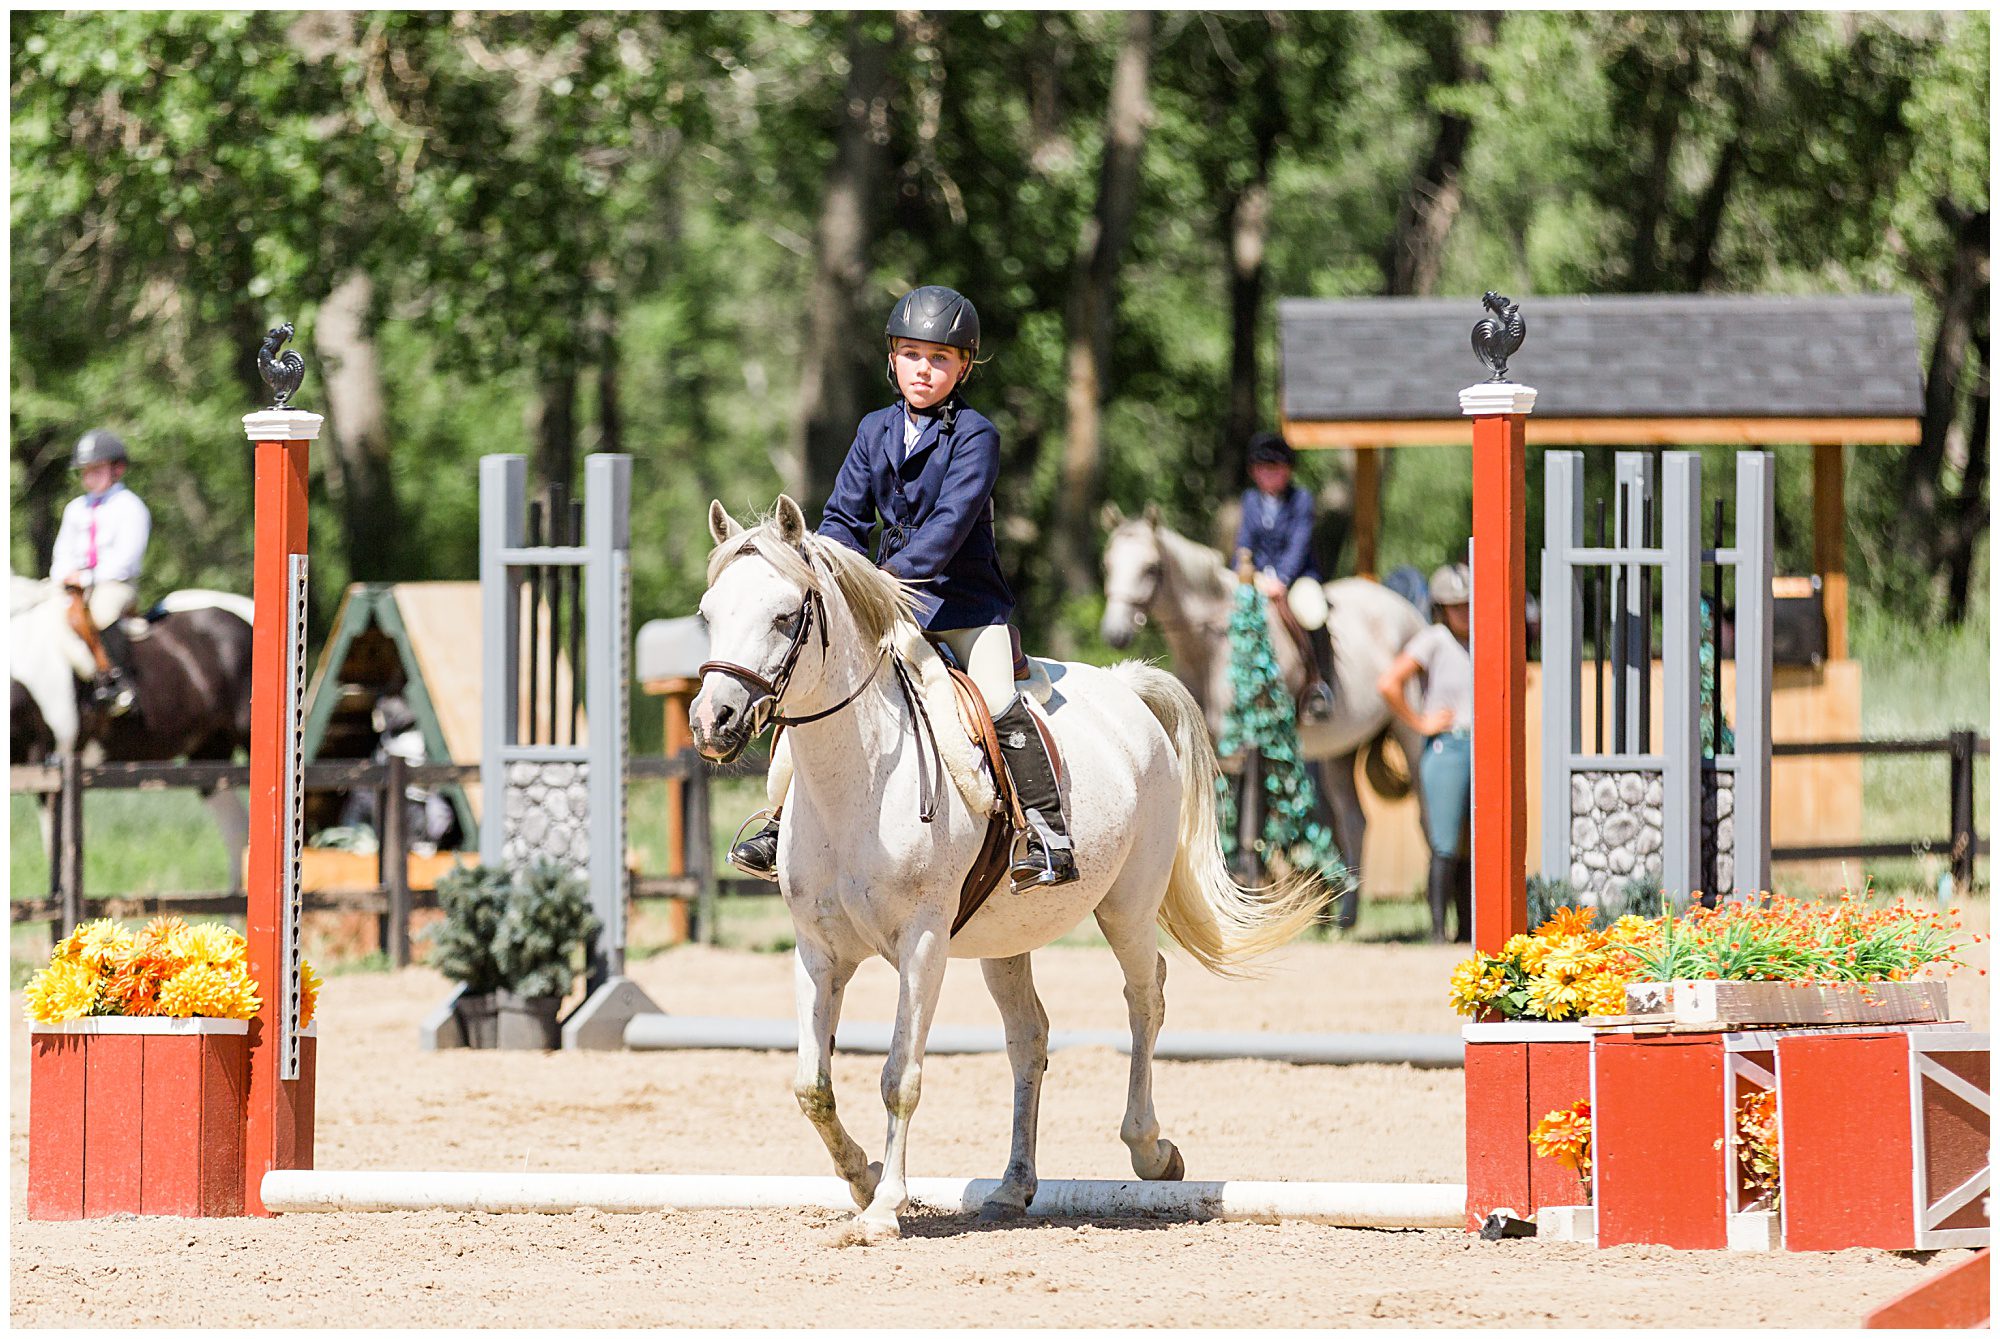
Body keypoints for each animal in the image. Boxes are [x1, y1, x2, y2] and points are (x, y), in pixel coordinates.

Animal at [692, 497, 1328, 1247]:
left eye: (786, 615)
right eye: (708, 612)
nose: (711, 721)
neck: (859, 776)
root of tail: (1124, 684)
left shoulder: (923, 945)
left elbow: (900, 1075)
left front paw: (883, 1208)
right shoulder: (817, 951)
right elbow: (810, 1085)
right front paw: (865, 1177)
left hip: (1127, 908)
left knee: (1146, 997)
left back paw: (1151, 1150)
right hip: (1005, 939)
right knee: (1030, 1039)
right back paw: (1012, 1186)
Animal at [1104, 509, 1432, 919]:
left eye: (1150, 568)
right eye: (1108, 564)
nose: (1114, 634)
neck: (1213, 643)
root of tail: (1403, 608)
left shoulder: (1249, 743)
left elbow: (1248, 813)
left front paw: (1245, 880)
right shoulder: (1213, 743)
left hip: (1409, 731)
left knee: (1423, 810)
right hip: (1341, 751)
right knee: (1354, 819)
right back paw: (1345, 915)